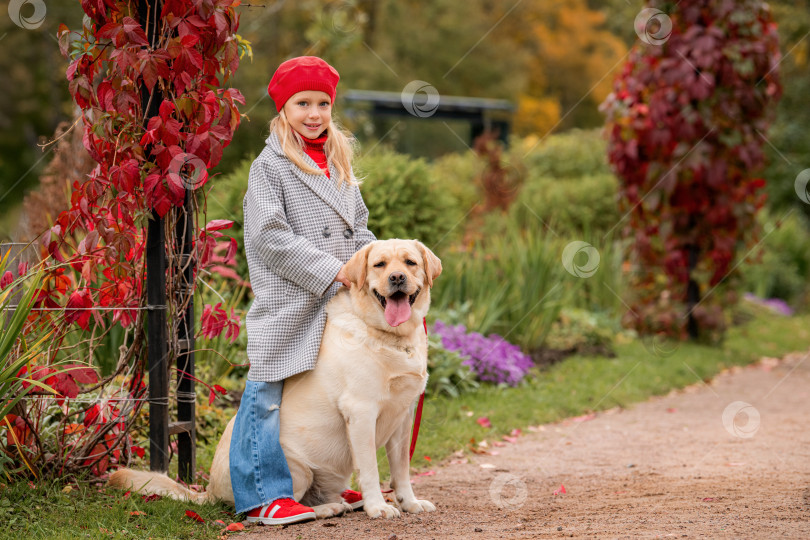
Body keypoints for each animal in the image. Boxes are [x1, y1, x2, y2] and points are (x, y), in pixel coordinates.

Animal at [109, 239, 442, 520]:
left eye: (410, 262)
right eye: (380, 265)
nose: (397, 278)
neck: (392, 338)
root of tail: (208, 490)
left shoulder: (403, 417)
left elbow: (401, 470)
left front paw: (409, 502)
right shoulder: (361, 412)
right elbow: (371, 469)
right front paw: (378, 507)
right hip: (296, 467)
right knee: (279, 504)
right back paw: (324, 508)